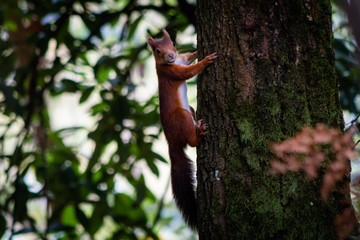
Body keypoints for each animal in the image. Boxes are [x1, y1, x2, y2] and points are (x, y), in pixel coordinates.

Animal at [147, 29, 217, 230]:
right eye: (157, 51)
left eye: (173, 44)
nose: (170, 56)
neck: (172, 63)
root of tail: (171, 141)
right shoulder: (171, 72)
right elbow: (189, 72)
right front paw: (205, 60)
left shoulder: (182, 60)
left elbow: (189, 58)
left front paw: (197, 50)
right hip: (182, 116)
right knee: (191, 143)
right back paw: (199, 135)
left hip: (190, 110)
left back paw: (198, 125)